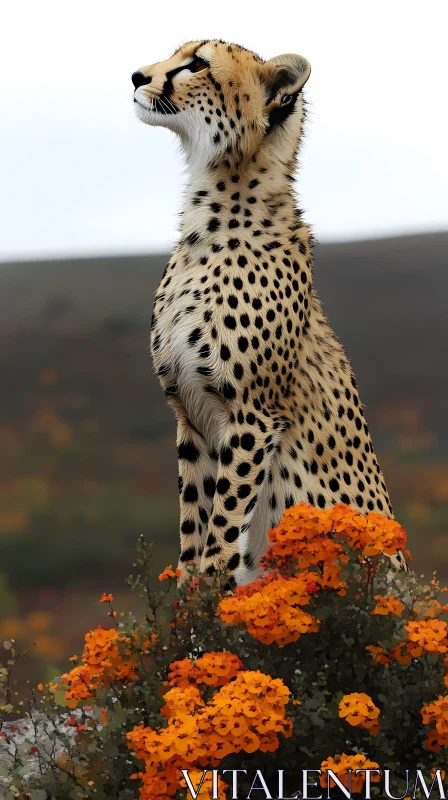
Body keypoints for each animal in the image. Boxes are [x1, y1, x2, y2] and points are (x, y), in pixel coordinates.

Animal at [130, 39, 406, 580]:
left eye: (197, 64)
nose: (136, 77)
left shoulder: (252, 416)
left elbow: (221, 528)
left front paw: (212, 590)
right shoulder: (189, 415)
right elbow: (193, 526)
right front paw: (189, 595)